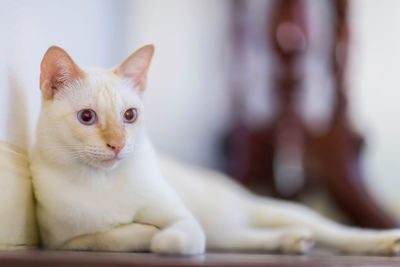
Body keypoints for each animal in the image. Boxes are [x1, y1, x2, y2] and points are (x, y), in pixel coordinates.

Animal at [29, 45, 400, 256]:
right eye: (87, 117)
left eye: (129, 116)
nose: (117, 144)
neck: (102, 182)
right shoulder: (62, 243)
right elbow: (110, 237)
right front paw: (144, 233)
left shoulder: (184, 220)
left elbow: (177, 238)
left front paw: (159, 239)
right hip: (227, 231)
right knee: (243, 237)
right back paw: (292, 241)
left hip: (265, 210)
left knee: (331, 229)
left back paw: (383, 242)